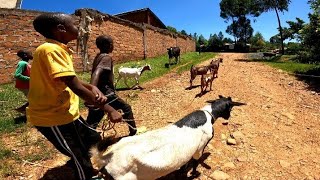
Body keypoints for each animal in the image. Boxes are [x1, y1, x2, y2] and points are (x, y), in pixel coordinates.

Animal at [90, 95, 245, 179]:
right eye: (231, 107)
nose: (228, 117)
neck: (208, 114)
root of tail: (106, 158)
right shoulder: (200, 147)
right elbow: (195, 162)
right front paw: (195, 174)